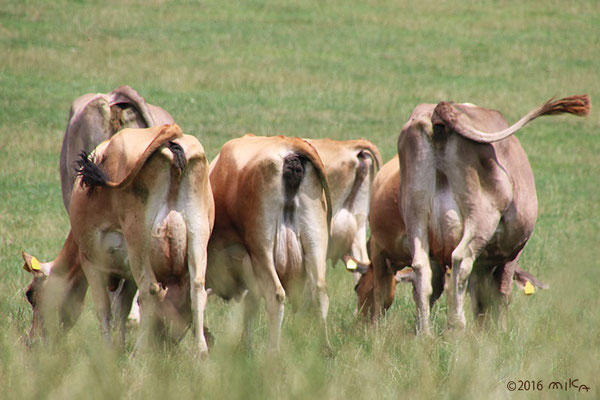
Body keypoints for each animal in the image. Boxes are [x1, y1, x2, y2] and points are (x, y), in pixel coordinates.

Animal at [23, 125, 216, 354]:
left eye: (31, 294)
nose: (32, 341)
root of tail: (171, 134)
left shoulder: (91, 262)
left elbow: (104, 308)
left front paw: (107, 351)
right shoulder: (127, 270)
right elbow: (123, 307)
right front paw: (120, 346)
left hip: (138, 242)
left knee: (150, 290)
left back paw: (140, 352)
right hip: (198, 236)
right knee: (197, 289)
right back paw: (201, 351)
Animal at [206, 134, 332, 350]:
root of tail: (289, 144)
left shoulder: (246, 259)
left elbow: (252, 301)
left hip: (261, 246)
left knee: (275, 294)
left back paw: (273, 351)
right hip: (315, 241)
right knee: (320, 292)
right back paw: (325, 349)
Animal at [396, 94, 588, 334]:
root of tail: (440, 109)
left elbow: (475, 295)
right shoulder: (511, 254)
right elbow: (502, 293)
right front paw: (500, 331)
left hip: (416, 215)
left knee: (421, 268)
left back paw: (425, 333)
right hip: (481, 216)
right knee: (460, 259)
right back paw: (457, 326)